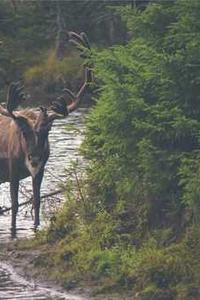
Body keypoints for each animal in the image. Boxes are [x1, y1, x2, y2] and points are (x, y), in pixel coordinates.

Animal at [0, 31, 92, 236]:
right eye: (23, 131)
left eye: (48, 130)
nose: (34, 159)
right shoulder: (12, 170)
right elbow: (15, 205)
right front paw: (13, 231)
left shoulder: (40, 170)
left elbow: (36, 201)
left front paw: (36, 227)